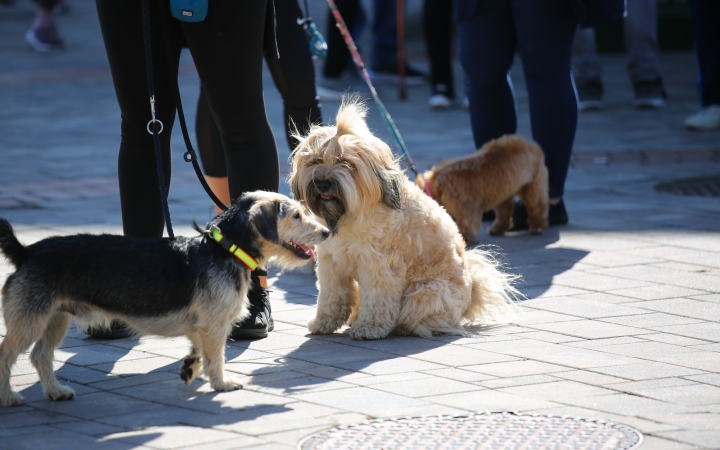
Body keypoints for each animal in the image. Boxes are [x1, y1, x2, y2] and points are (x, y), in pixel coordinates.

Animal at [290, 97, 520, 338]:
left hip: (424, 291)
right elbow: (331, 296)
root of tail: (472, 292)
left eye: (345, 162)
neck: (350, 213)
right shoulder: (331, 263)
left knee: (425, 318)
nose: (323, 183)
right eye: (316, 160)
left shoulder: (379, 265)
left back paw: (402, 327)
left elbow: (378, 298)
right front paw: (323, 323)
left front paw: (369, 327)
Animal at [414, 134, 548, 243]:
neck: (436, 187)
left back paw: (537, 226)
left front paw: (463, 237)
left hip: (531, 184)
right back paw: (498, 227)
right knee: (505, 208)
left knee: (537, 204)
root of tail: (530, 143)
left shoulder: (465, 207)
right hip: (503, 188)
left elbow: (466, 222)